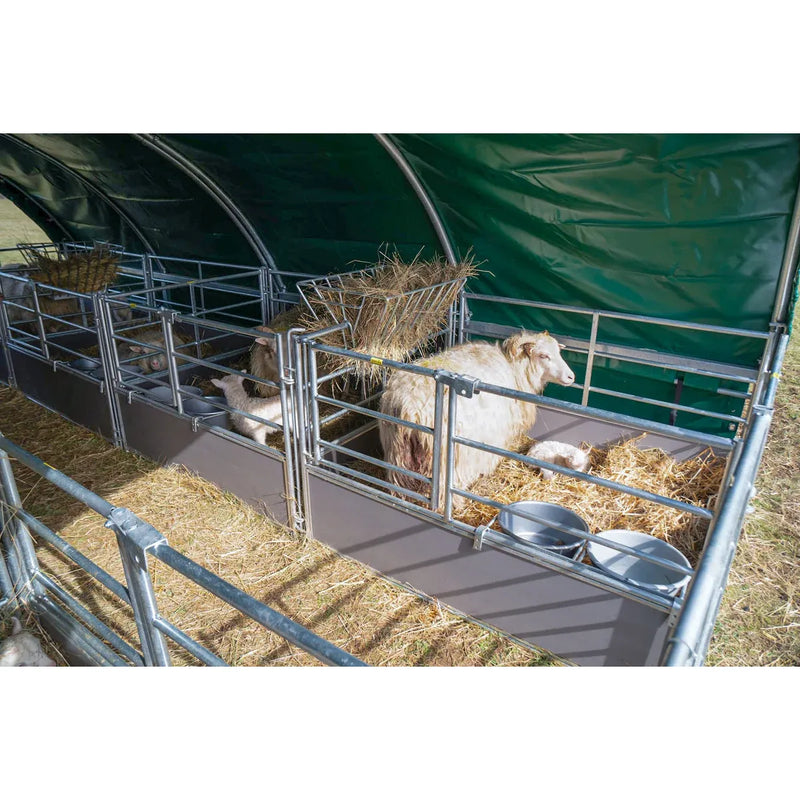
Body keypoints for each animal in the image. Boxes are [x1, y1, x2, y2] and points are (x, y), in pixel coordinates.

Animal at [378, 331, 575, 510]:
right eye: (543, 356)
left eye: (558, 352)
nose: (571, 376)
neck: (515, 370)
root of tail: (409, 408)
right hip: (447, 458)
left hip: (398, 454)